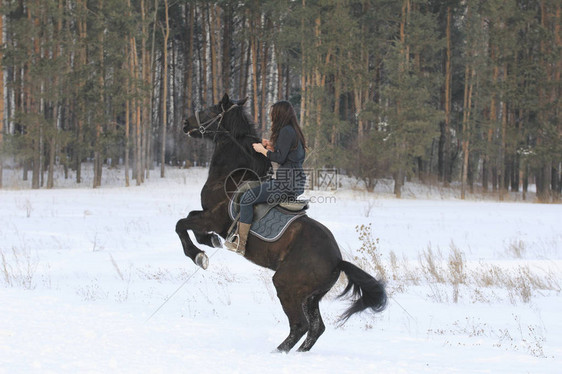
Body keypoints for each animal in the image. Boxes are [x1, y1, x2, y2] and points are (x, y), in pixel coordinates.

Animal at [175, 94, 384, 354]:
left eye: (212, 110)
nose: (185, 123)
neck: (231, 175)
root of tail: (337, 260)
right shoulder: (207, 216)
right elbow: (193, 224)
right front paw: (210, 242)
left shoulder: (213, 217)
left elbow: (181, 224)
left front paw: (199, 256)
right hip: (310, 297)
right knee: (316, 328)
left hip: (286, 285)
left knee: (300, 325)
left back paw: (277, 353)